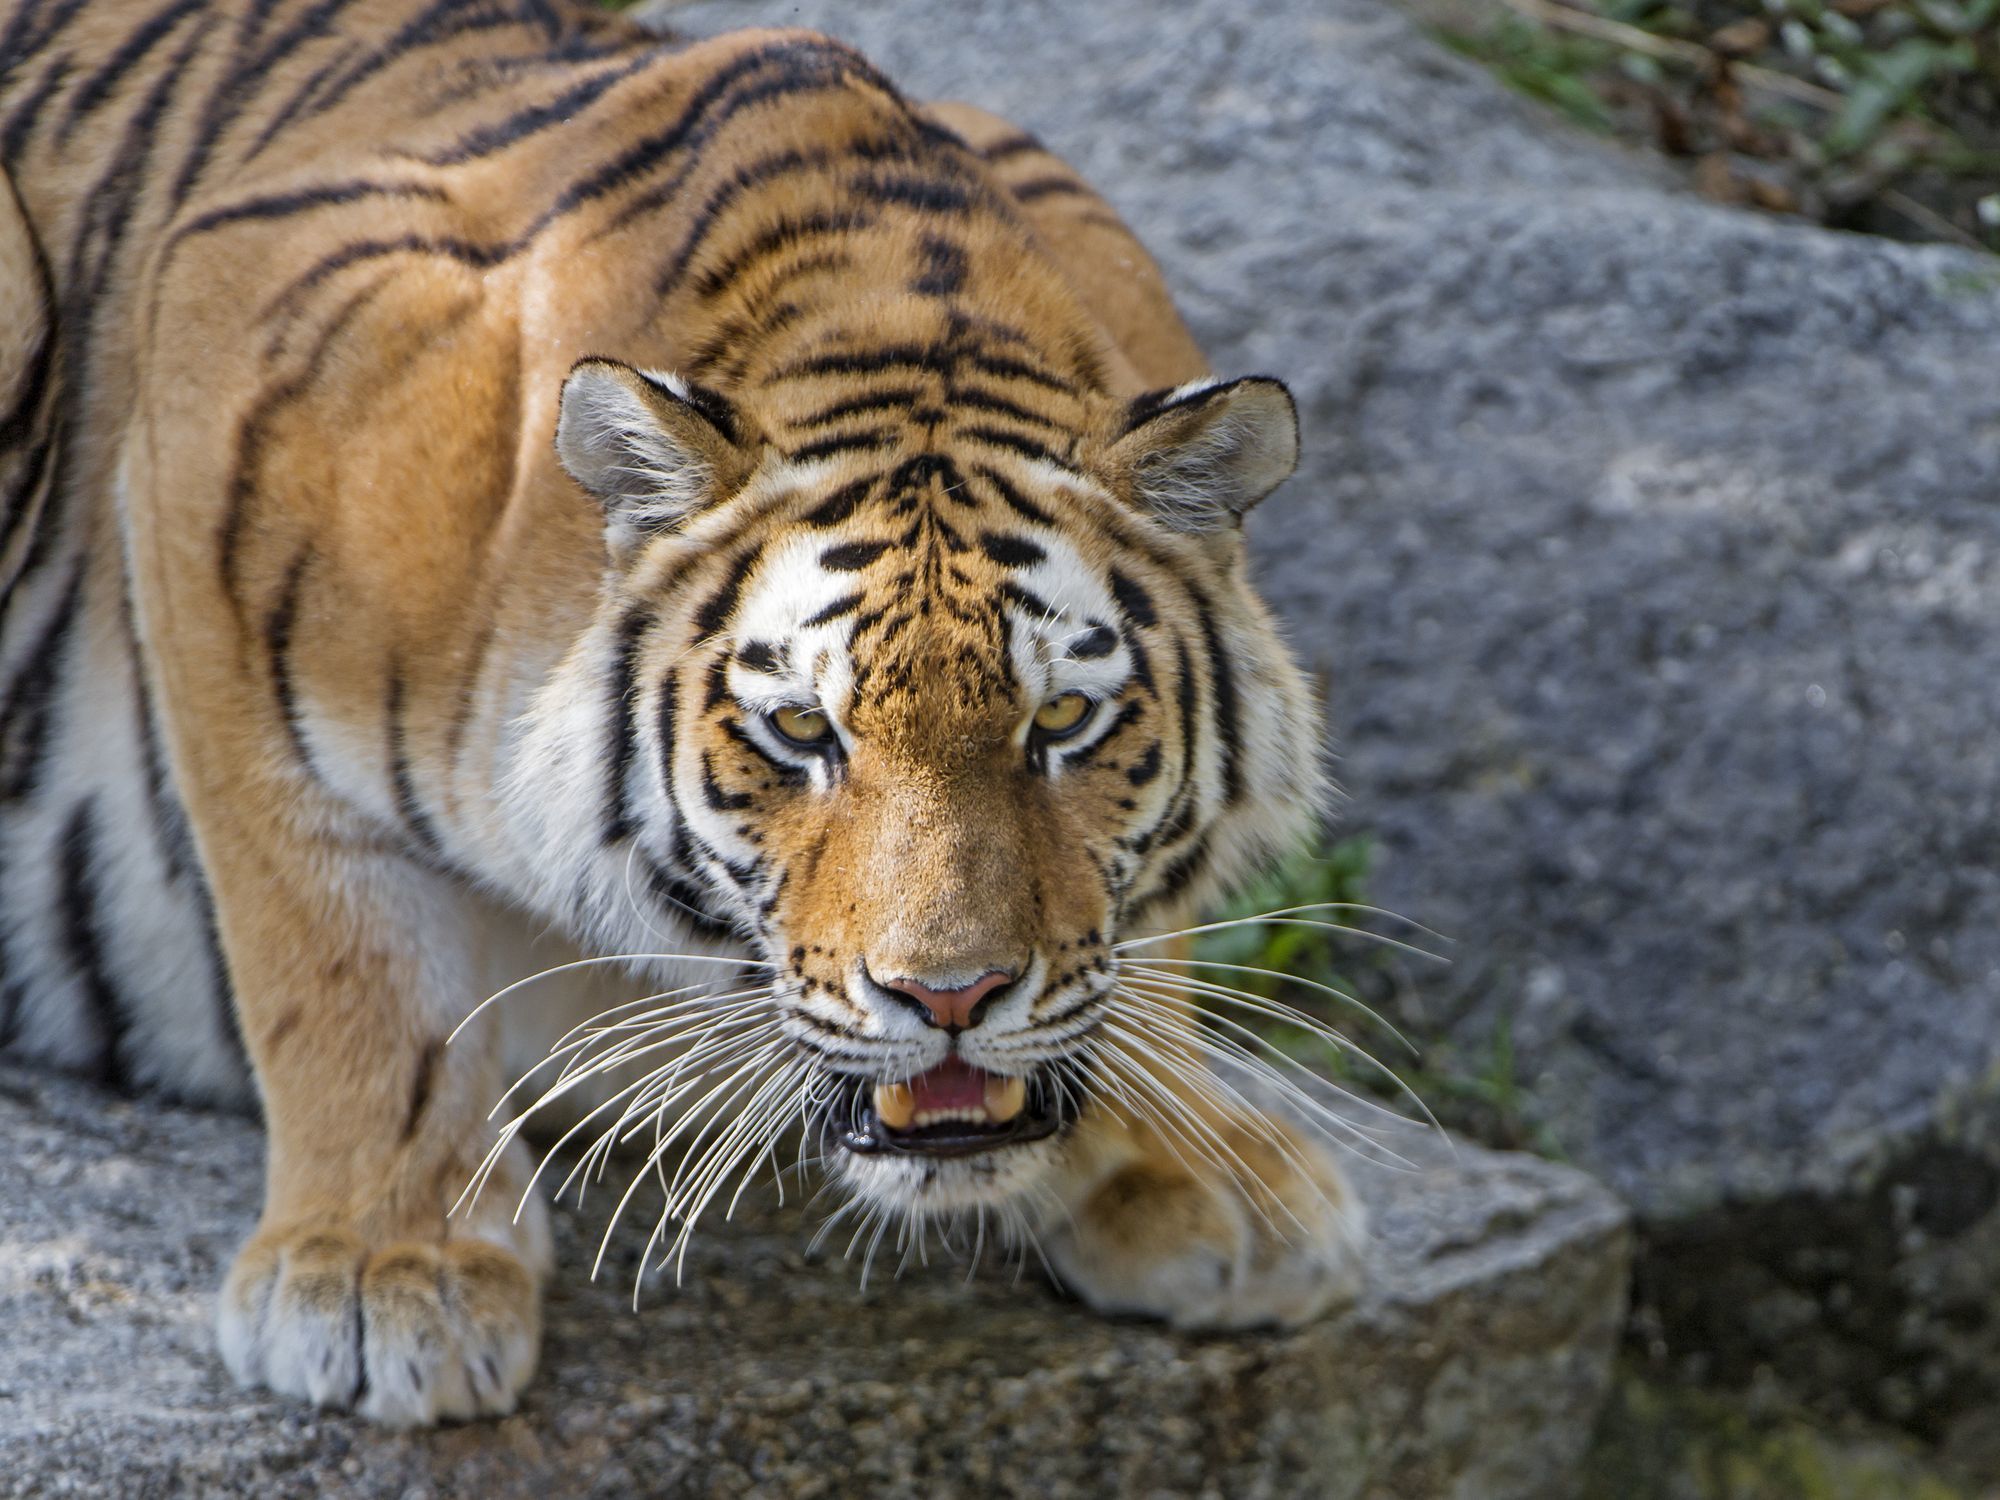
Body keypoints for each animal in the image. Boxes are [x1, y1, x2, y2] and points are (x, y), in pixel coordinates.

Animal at [0, 0, 1376, 1432]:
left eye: (1058, 723)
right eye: (803, 733)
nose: (948, 999)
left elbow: (1141, 936)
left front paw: (1198, 1165)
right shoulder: (222, 390)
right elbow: (331, 937)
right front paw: (386, 1270)